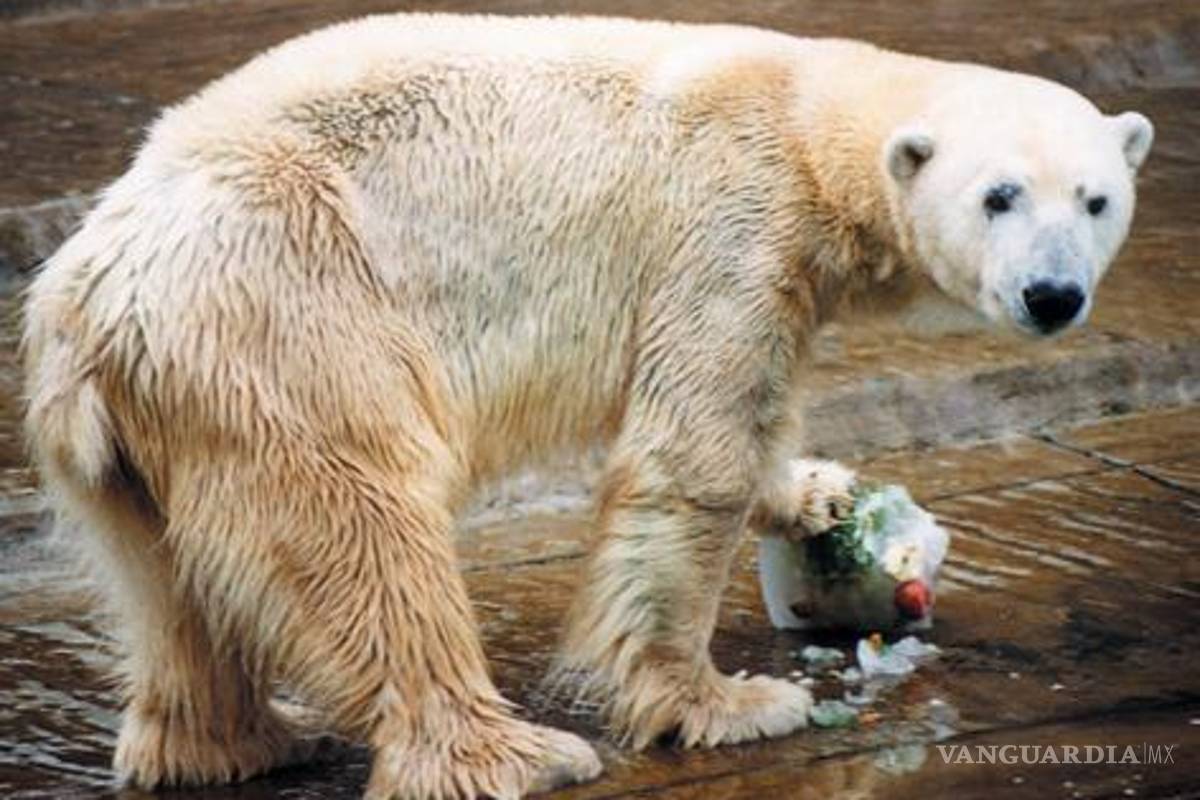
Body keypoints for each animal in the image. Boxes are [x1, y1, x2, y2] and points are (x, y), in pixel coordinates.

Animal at [22, 13, 1152, 800]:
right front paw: (729, 702)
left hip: (139, 423)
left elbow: (750, 429)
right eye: (999, 194)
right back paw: (513, 751)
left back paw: (240, 738)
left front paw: (821, 497)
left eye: (1096, 198)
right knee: (362, 528)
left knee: (170, 584)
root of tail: (89, 295)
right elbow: (694, 450)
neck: (803, 113)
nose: (1054, 293)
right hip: (293, 309)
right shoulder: (731, 229)